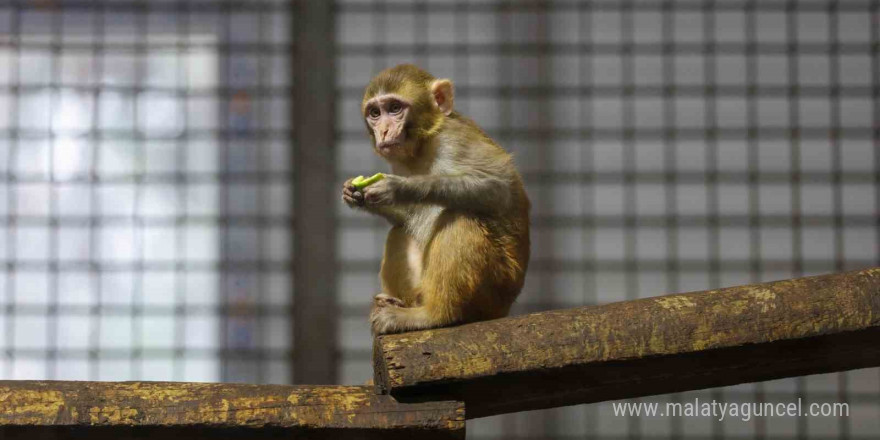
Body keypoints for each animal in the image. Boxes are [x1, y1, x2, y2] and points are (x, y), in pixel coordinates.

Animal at [340, 63, 524, 336]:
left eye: (394, 108)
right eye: (375, 112)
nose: (383, 131)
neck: (423, 144)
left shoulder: (454, 139)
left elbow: (498, 187)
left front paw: (400, 187)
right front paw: (354, 194)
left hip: (493, 291)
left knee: (459, 217)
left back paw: (433, 315)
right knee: (400, 231)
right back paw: (399, 303)